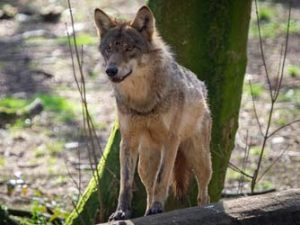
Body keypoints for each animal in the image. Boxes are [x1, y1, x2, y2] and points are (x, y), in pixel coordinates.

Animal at [94, 4, 213, 220]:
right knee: (148, 189)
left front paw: (158, 207)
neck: (142, 99)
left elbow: (162, 178)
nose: (111, 70)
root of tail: (201, 85)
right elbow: (126, 183)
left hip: (200, 159)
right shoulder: (128, 141)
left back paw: (202, 208)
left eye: (129, 48)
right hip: (145, 164)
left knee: (203, 192)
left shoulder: (171, 140)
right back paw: (147, 210)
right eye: (109, 49)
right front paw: (121, 212)